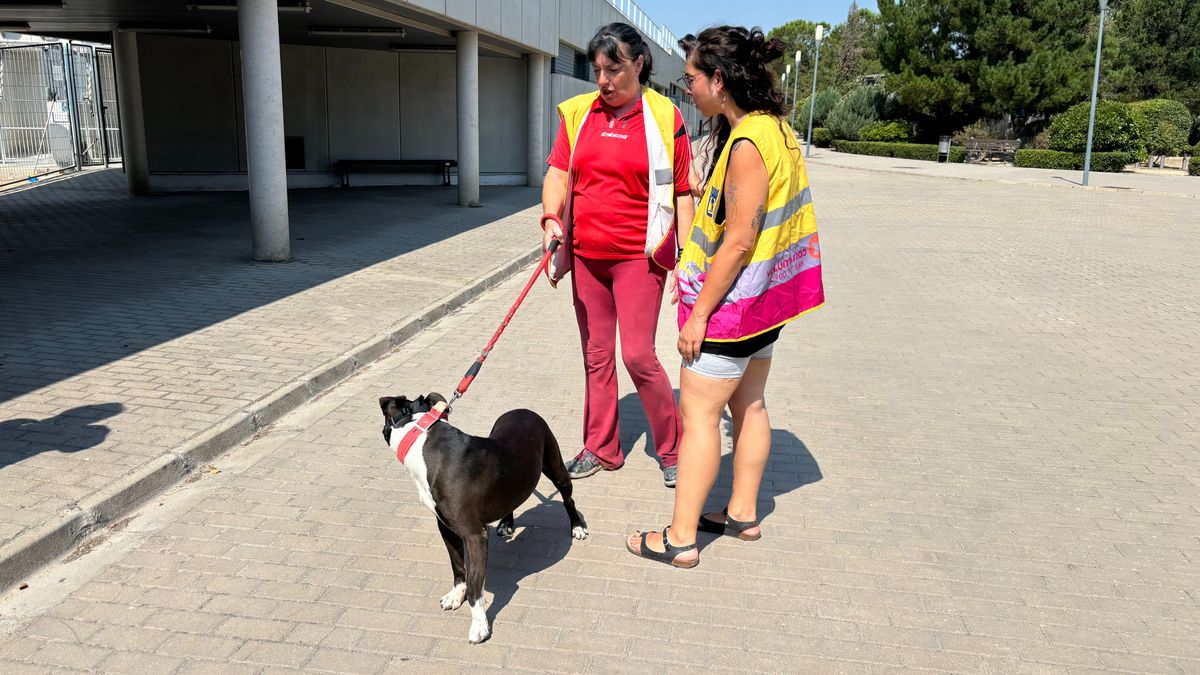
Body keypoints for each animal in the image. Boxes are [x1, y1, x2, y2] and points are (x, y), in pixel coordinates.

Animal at [376, 391, 588, 638]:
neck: (421, 435)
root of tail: (524, 410)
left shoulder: (474, 535)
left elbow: (475, 583)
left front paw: (479, 625)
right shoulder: (446, 527)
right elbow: (457, 565)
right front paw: (455, 595)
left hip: (555, 466)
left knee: (568, 499)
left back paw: (577, 526)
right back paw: (506, 523)